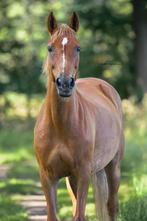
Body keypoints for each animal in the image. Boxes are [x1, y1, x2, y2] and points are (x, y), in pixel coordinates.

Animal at [34, 11, 124, 221]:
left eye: (78, 48)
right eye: (50, 48)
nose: (65, 84)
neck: (60, 126)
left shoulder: (83, 175)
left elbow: (80, 216)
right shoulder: (48, 177)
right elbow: (53, 215)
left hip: (113, 168)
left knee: (111, 206)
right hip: (72, 179)